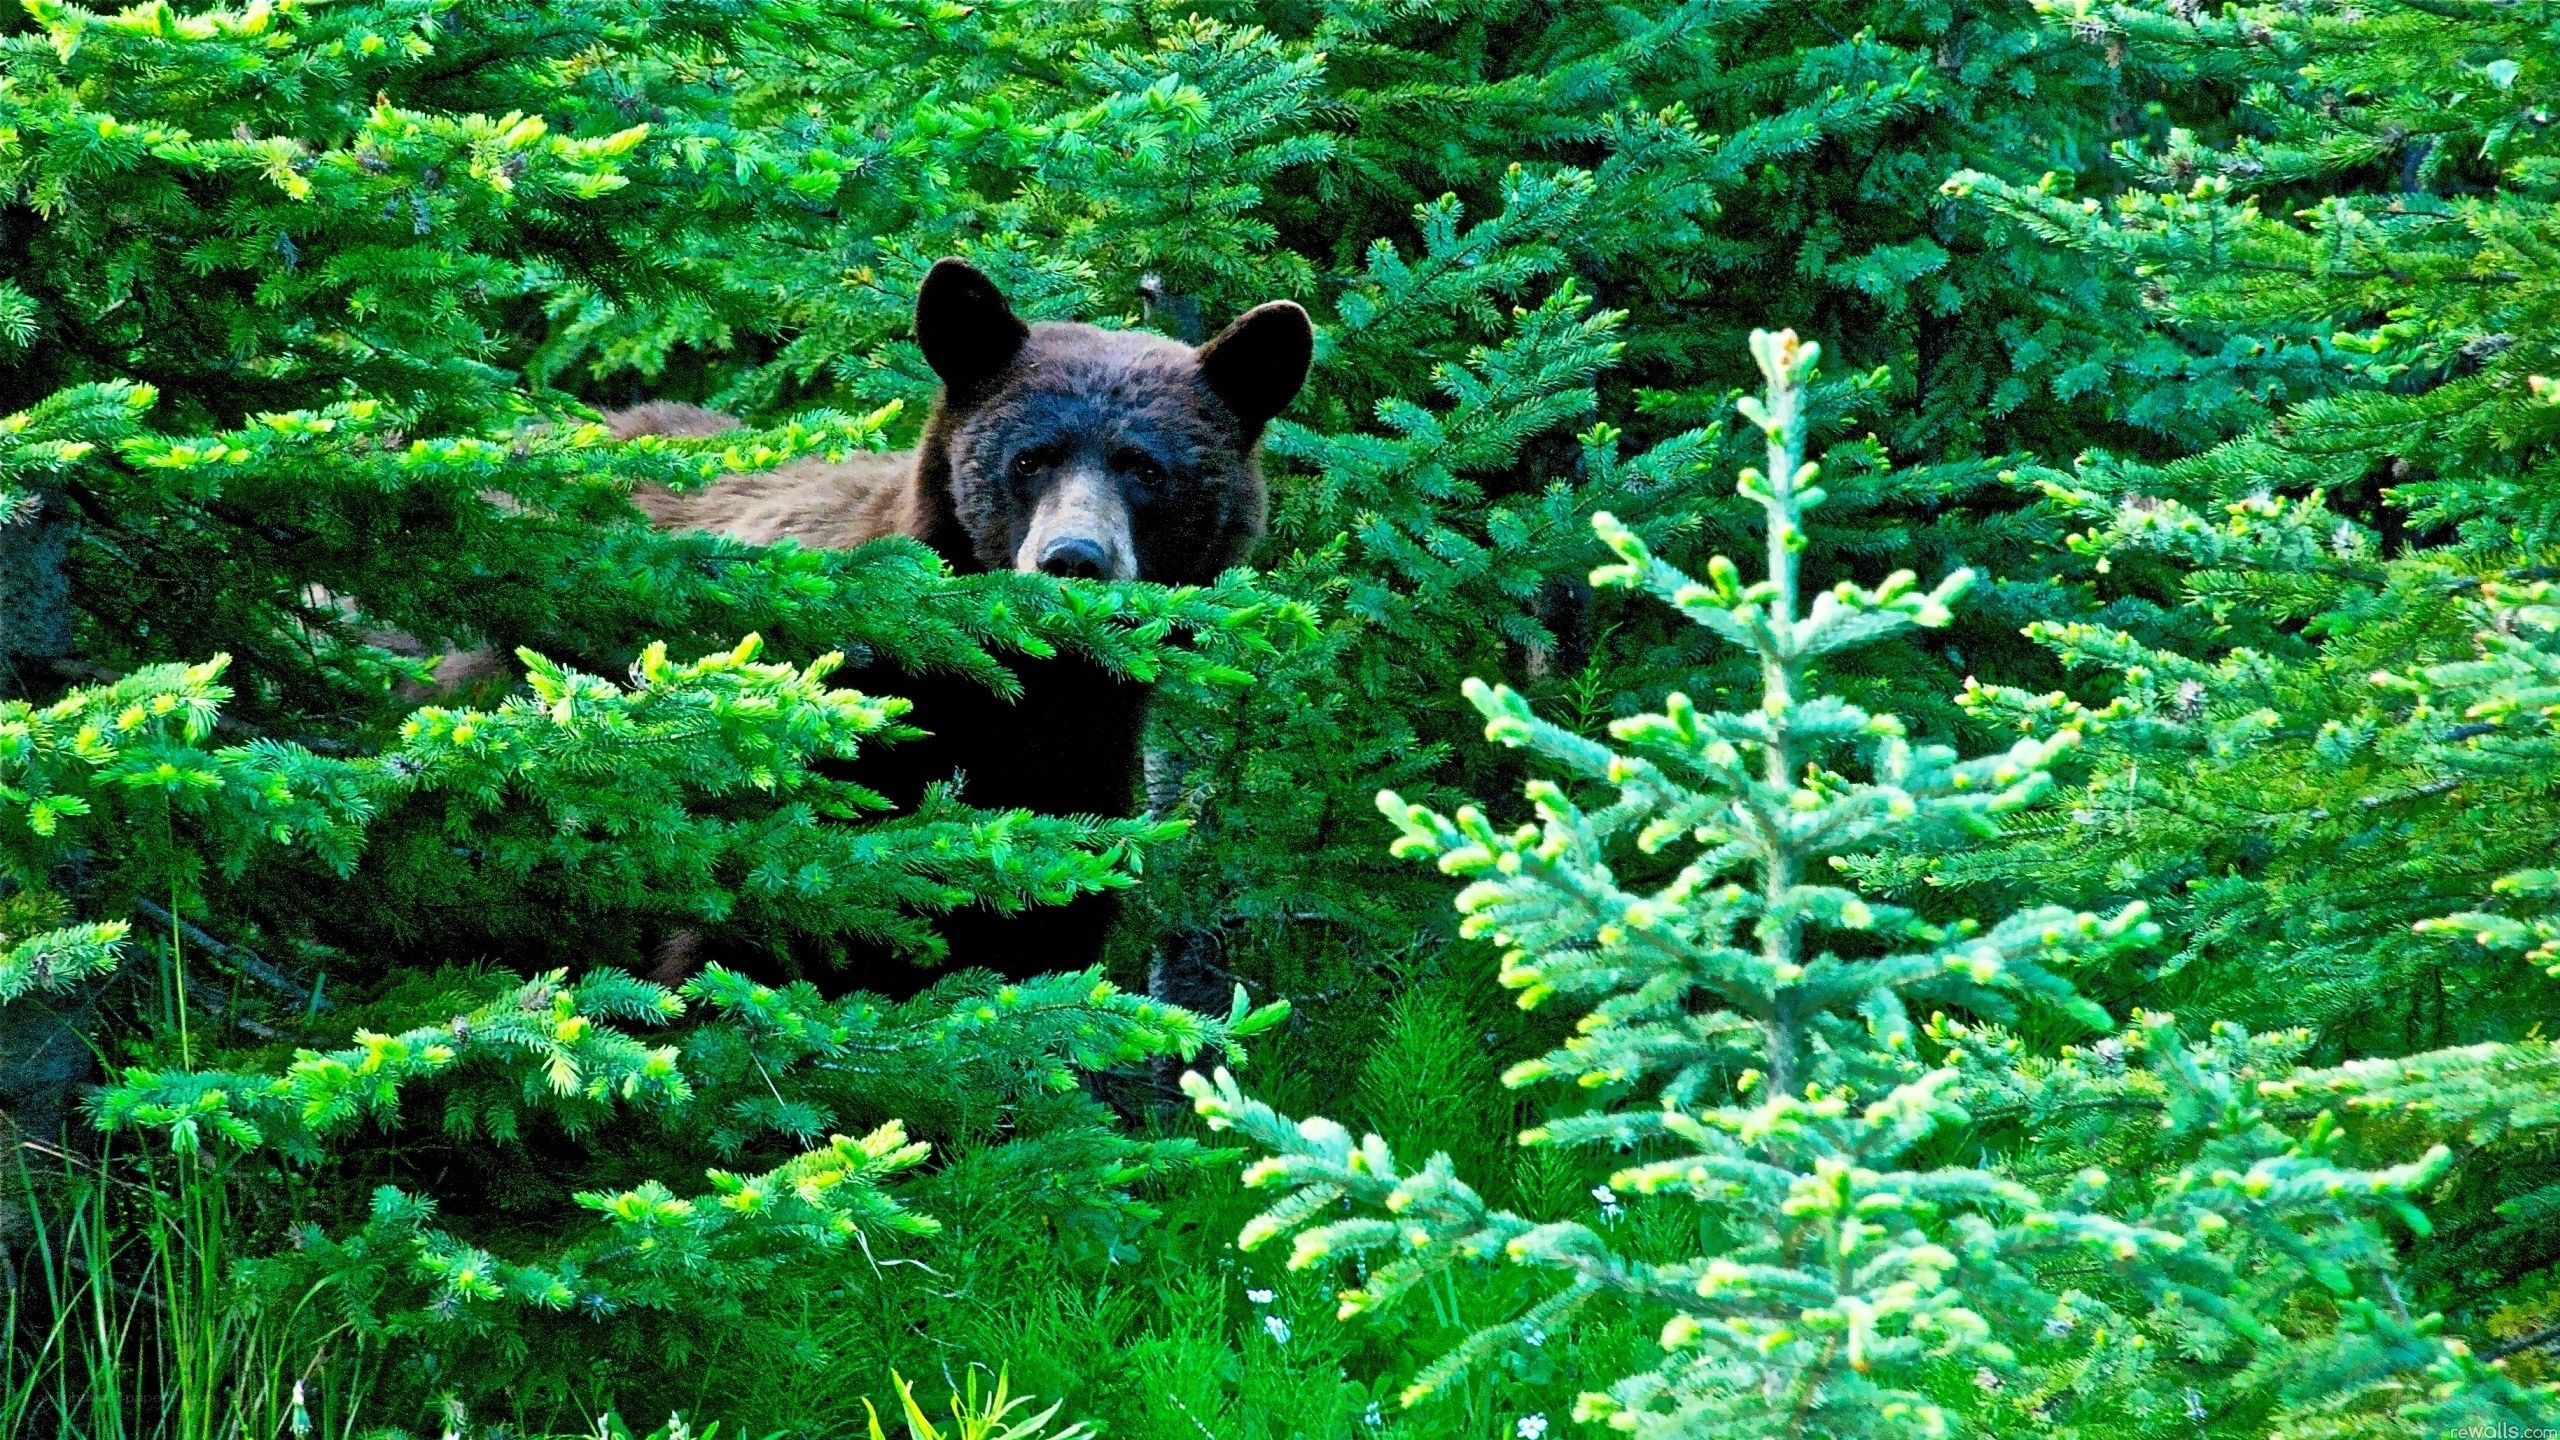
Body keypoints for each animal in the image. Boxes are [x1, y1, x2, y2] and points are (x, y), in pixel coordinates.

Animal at [621, 259, 1312, 989]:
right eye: (1029, 458)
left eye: (1147, 470)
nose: (1073, 558)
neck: (1022, 695)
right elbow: (729, 954)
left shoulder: (1073, 810)